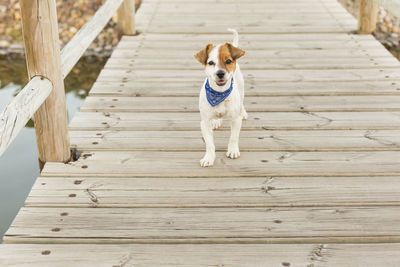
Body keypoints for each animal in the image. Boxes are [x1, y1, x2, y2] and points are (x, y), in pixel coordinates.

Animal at [195, 29, 247, 168]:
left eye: (228, 61)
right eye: (211, 63)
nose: (220, 73)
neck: (219, 94)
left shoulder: (236, 120)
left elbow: (233, 137)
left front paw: (232, 150)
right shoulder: (205, 122)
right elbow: (209, 143)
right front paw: (209, 158)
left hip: (241, 88)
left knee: (242, 102)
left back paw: (244, 112)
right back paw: (217, 121)